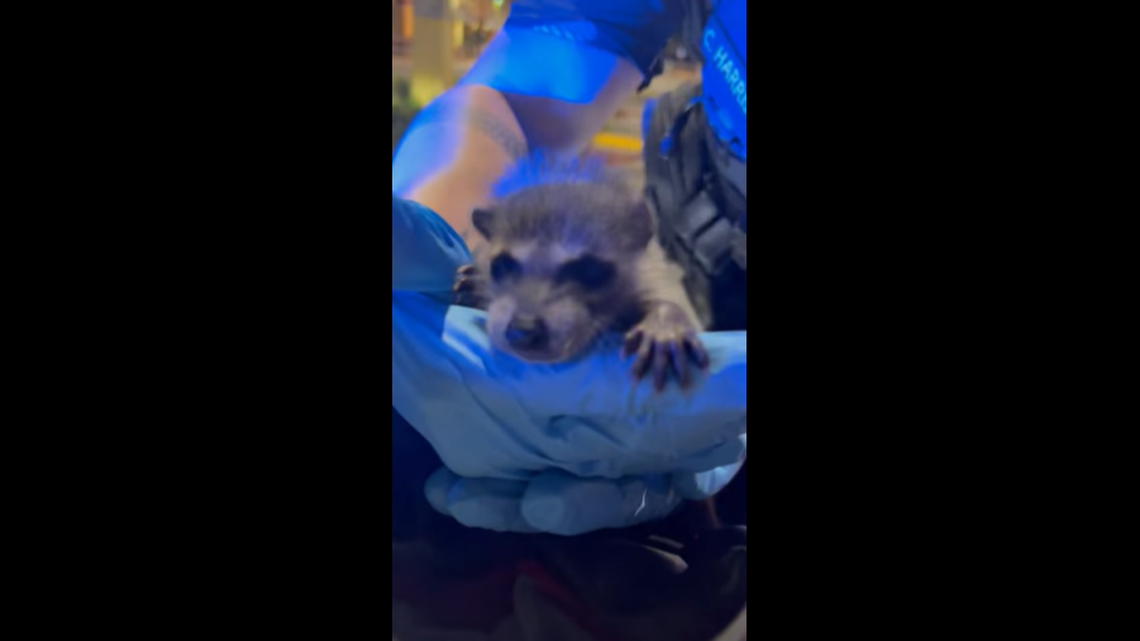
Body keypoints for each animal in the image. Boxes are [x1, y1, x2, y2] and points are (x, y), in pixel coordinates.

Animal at [452, 157, 710, 391]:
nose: (523, 329)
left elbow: (677, 301)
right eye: (503, 265)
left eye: (587, 269)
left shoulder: (654, 269)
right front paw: (477, 284)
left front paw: (666, 315)